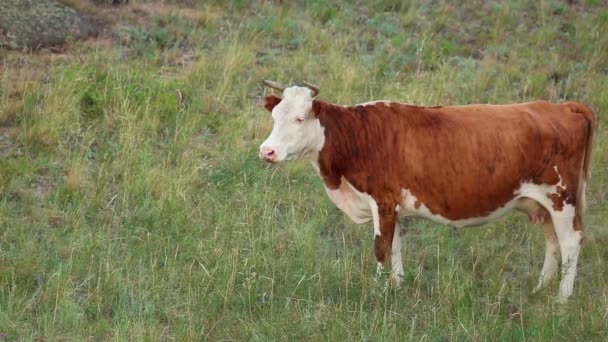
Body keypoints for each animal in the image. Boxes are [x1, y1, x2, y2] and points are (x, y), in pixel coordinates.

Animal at [256, 79, 592, 302]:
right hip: (543, 204)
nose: (267, 151)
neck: (358, 136)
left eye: (299, 118)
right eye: (274, 117)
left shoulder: (382, 199)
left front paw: (378, 291)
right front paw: (397, 285)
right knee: (552, 241)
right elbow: (395, 245)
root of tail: (561, 106)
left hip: (562, 198)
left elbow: (381, 247)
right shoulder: (392, 206)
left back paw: (562, 299)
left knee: (570, 242)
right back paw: (541, 288)